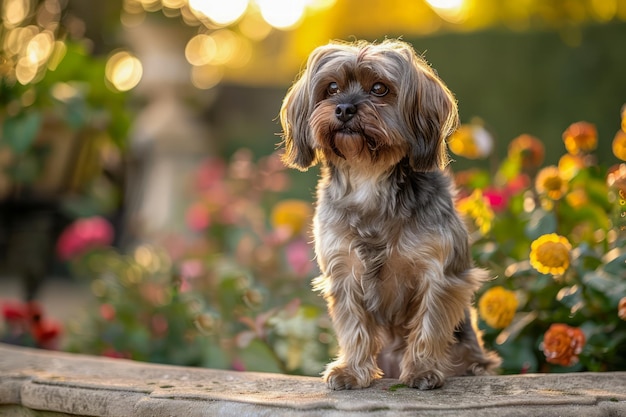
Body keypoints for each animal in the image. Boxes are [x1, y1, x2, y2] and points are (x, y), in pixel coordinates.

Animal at [278, 39, 498, 390]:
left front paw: (422, 369)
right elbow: (354, 327)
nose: (344, 108)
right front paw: (352, 371)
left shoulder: (438, 271)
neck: (369, 177)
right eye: (332, 88)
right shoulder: (344, 270)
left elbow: (430, 323)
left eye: (380, 88)